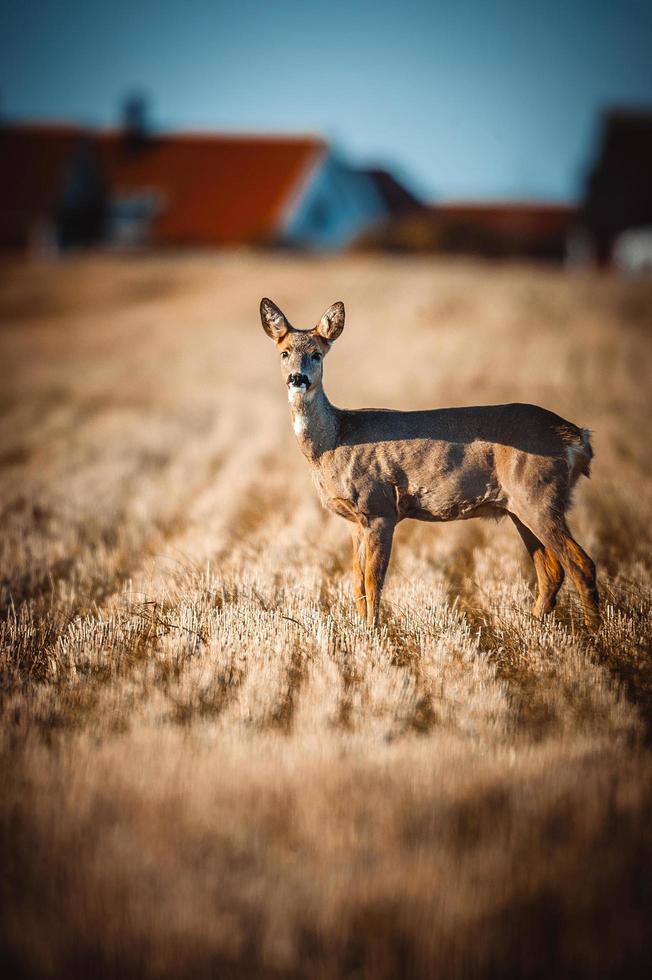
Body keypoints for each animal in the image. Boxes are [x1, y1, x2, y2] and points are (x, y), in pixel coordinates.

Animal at [260, 294, 600, 632]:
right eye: (284, 353)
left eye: (316, 354)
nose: (297, 378)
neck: (335, 440)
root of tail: (576, 436)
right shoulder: (355, 521)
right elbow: (356, 582)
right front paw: (360, 630)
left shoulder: (379, 507)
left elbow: (373, 581)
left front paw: (373, 632)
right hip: (520, 505)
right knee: (551, 570)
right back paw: (535, 627)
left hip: (538, 494)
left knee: (582, 564)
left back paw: (594, 634)